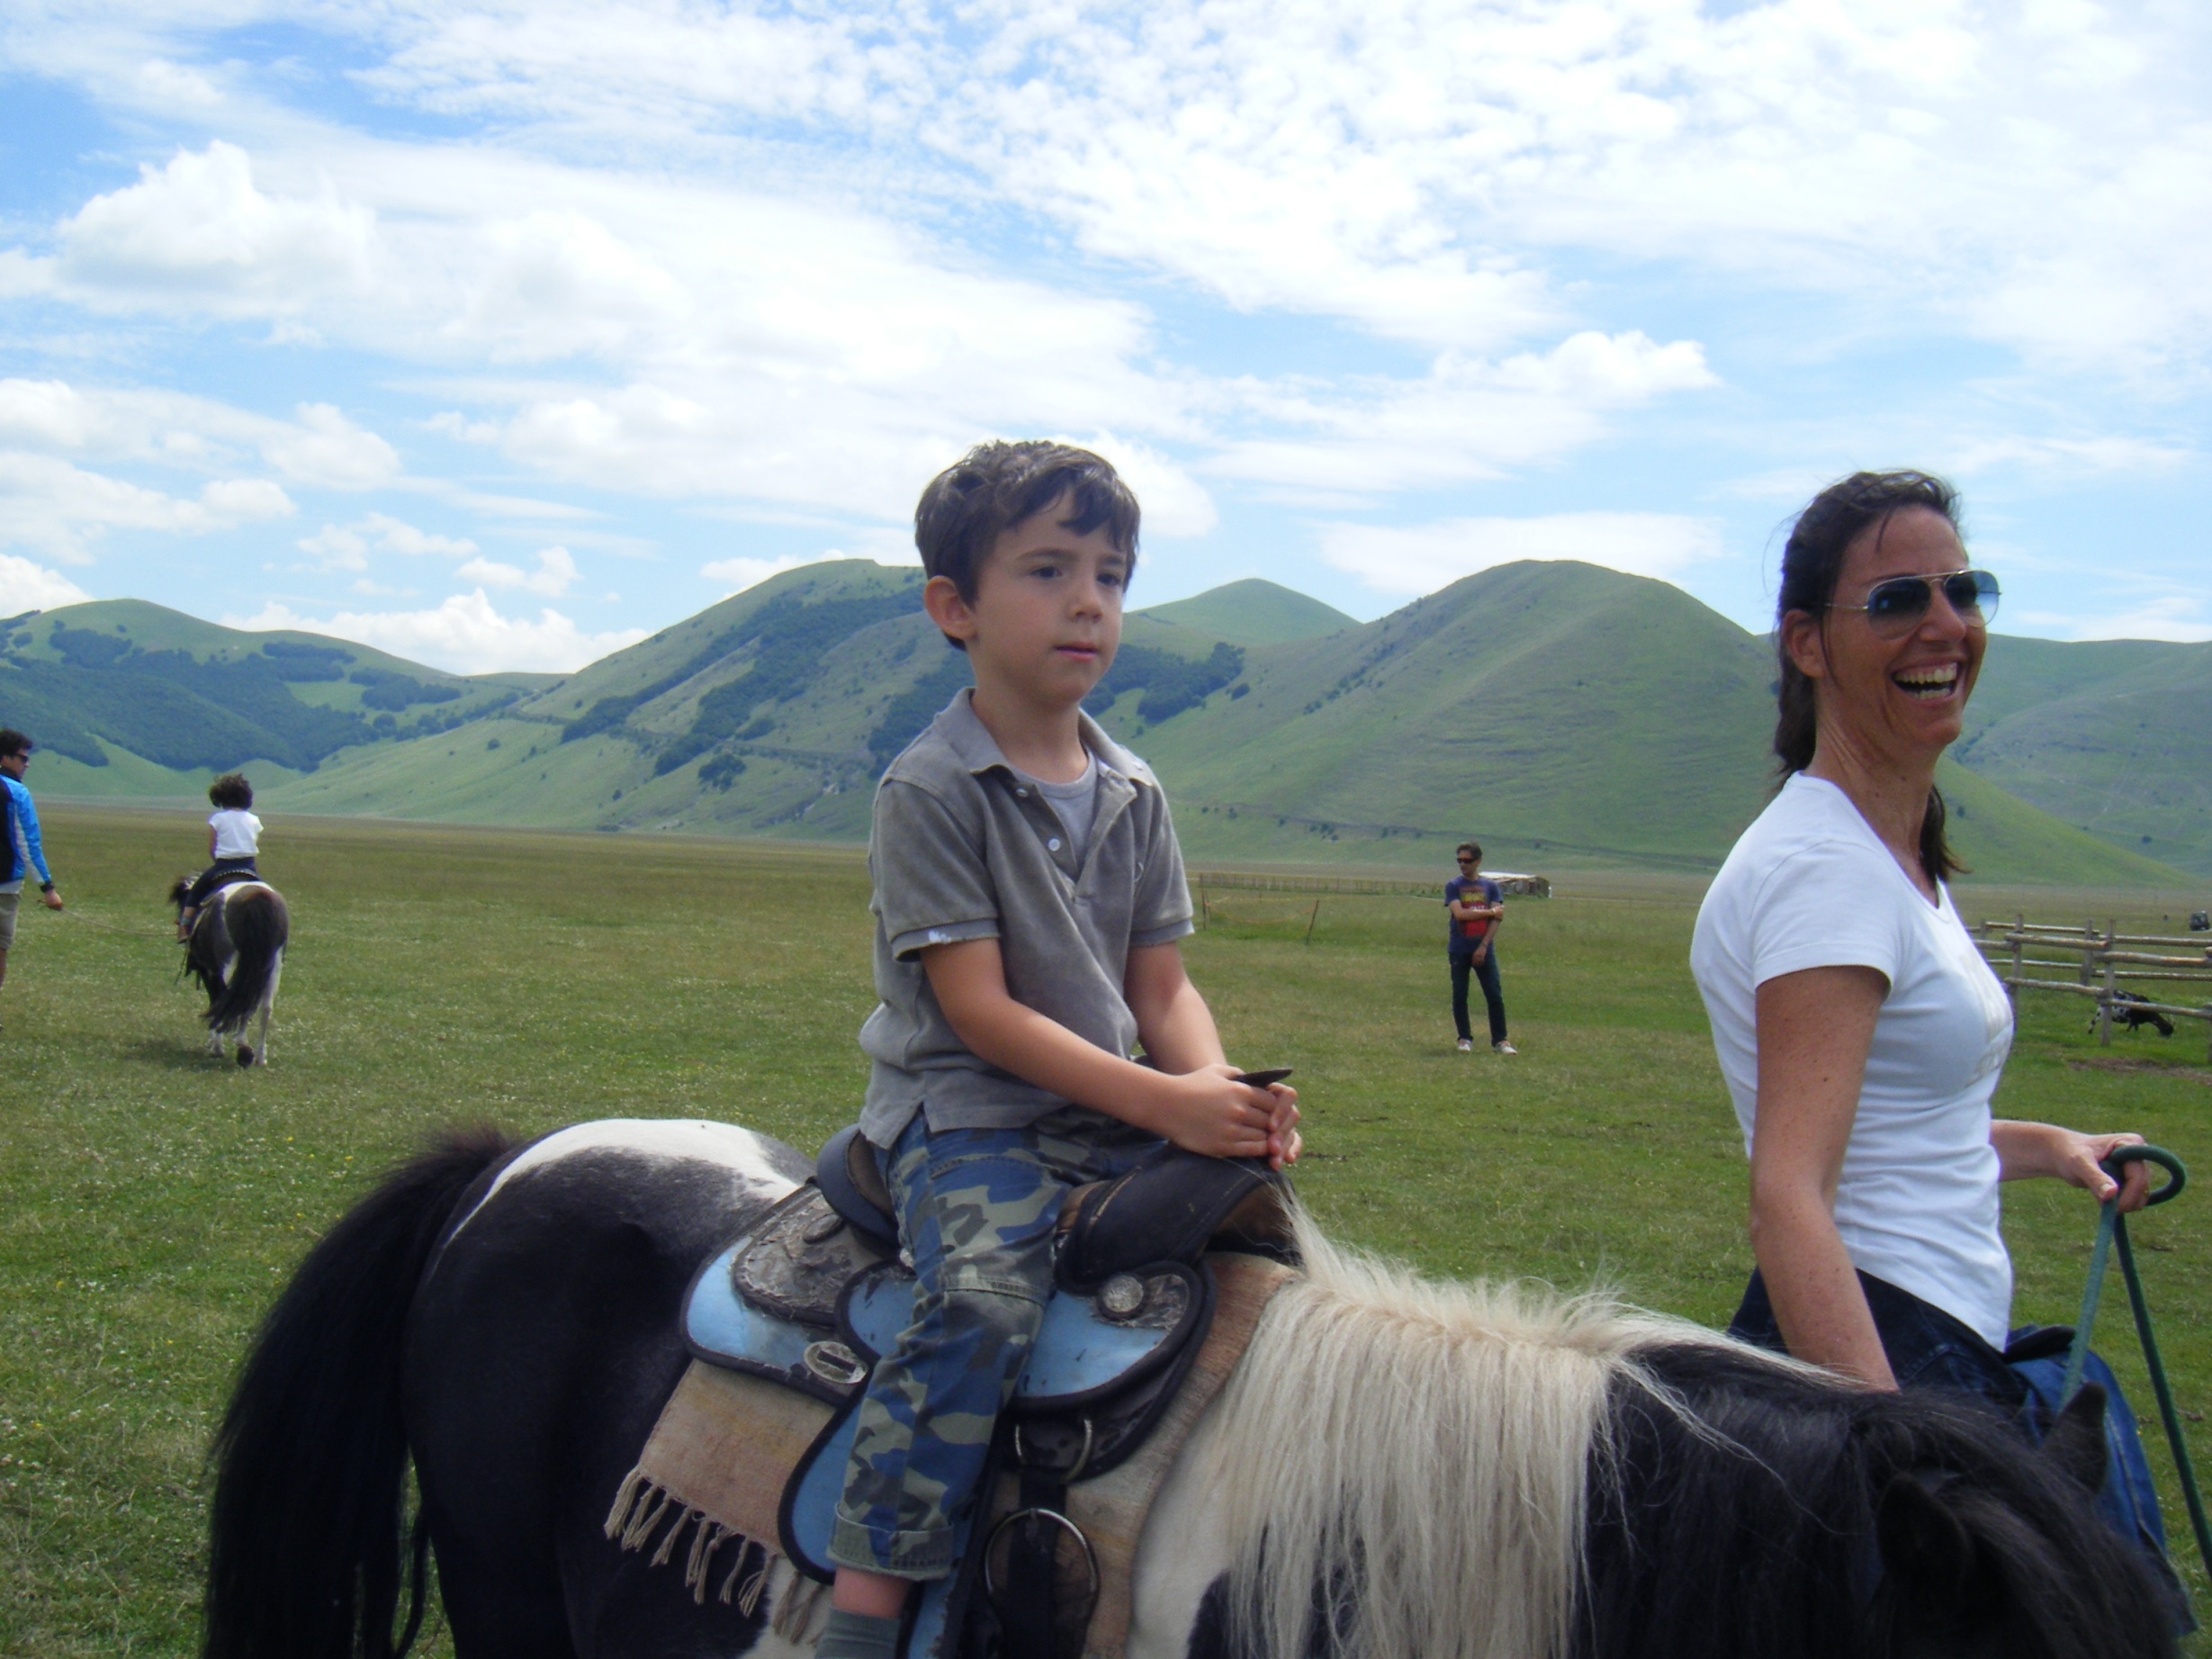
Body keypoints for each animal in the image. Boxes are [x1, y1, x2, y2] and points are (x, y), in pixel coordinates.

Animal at [169, 876, 287, 1070]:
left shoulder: (209, 971)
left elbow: (216, 1001)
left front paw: (215, 1044)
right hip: (273, 966)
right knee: (264, 1008)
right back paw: (259, 1057)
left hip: (227, 963)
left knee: (226, 998)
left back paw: (238, 1049)